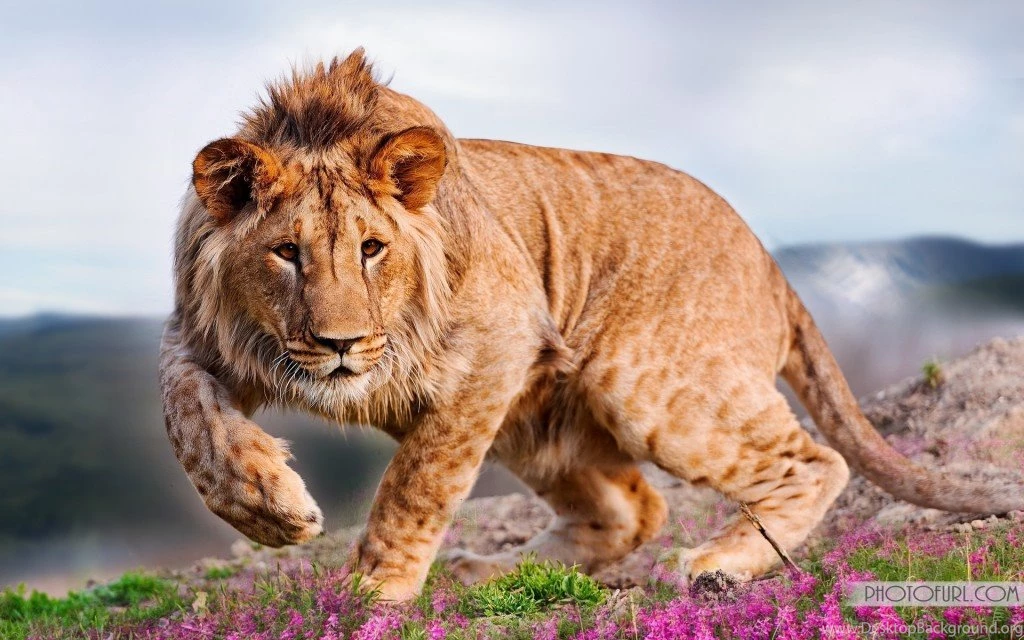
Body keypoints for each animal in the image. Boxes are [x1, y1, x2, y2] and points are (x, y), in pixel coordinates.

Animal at [160, 49, 1023, 601]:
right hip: (535, 421)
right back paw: (490, 571)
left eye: (372, 249)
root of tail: (769, 261)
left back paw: (720, 565)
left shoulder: (498, 342)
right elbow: (190, 422)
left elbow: (417, 483)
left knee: (814, 462)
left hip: (636, 379)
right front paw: (270, 508)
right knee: (633, 511)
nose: (338, 346)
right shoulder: (201, 336)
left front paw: (375, 590)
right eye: (285, 253)